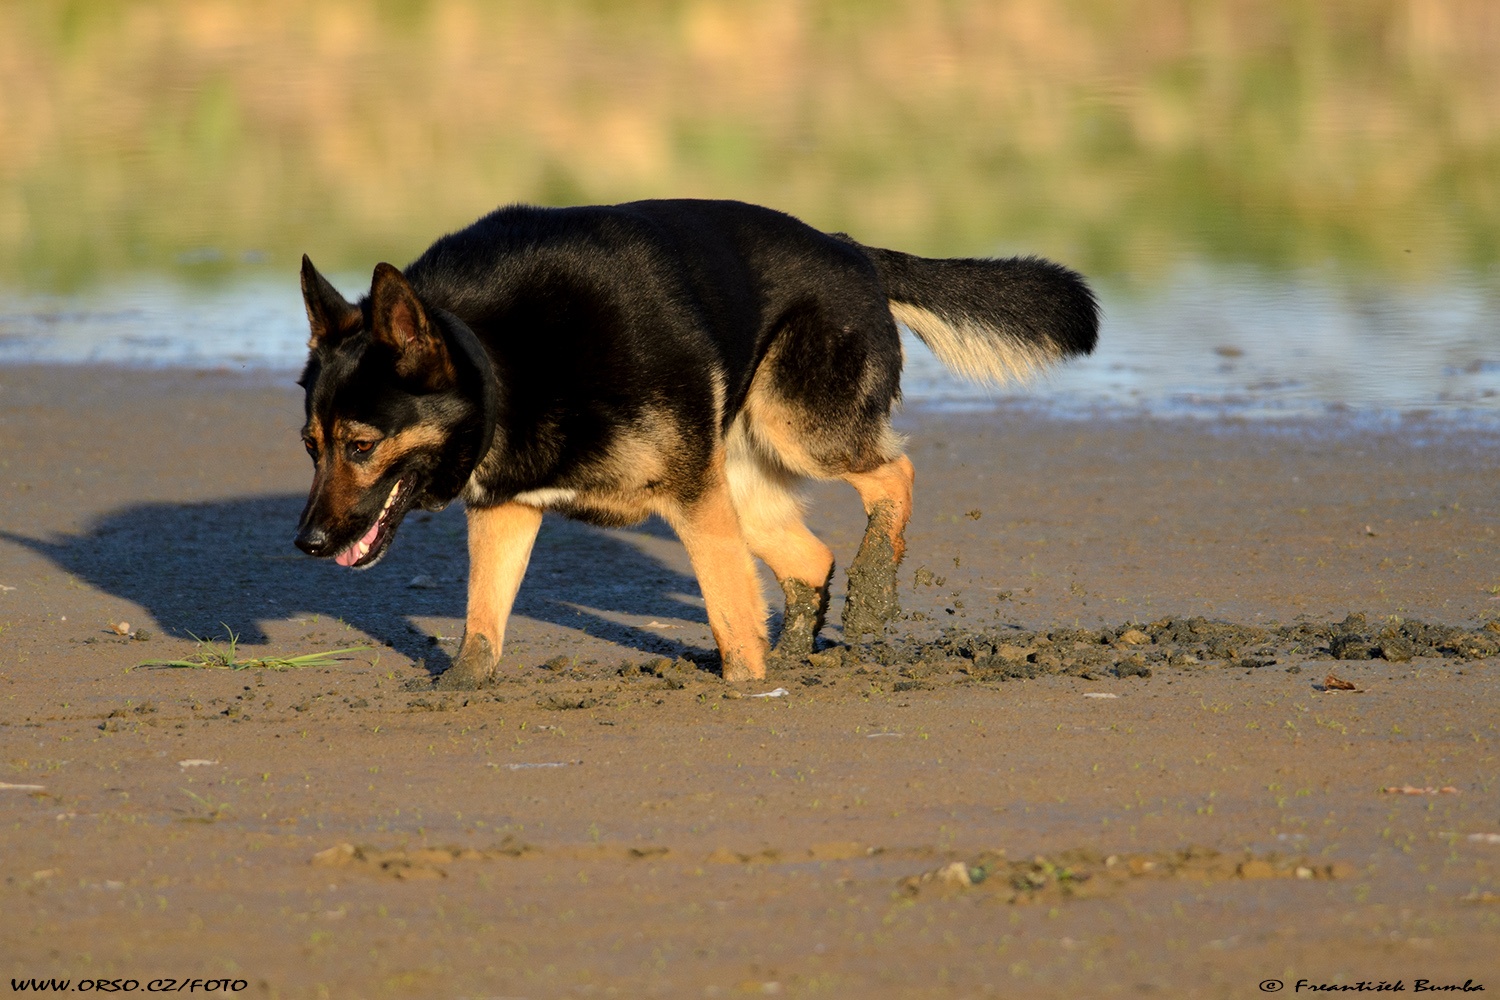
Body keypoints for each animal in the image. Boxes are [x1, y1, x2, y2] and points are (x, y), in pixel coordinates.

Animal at [292, 203, 1098, 689]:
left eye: (360, 445)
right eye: (310, 446)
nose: (306, 545)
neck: (503, 360)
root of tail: (850, 249)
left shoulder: (692, 499)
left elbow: (730, 610)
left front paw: (747, 686)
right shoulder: (507, 510)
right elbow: (482, 619)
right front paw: (460, 689)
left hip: (799, 433)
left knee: (893, 473)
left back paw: (871, 595)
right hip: (745, 479)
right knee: (810, 561)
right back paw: (799, 655)